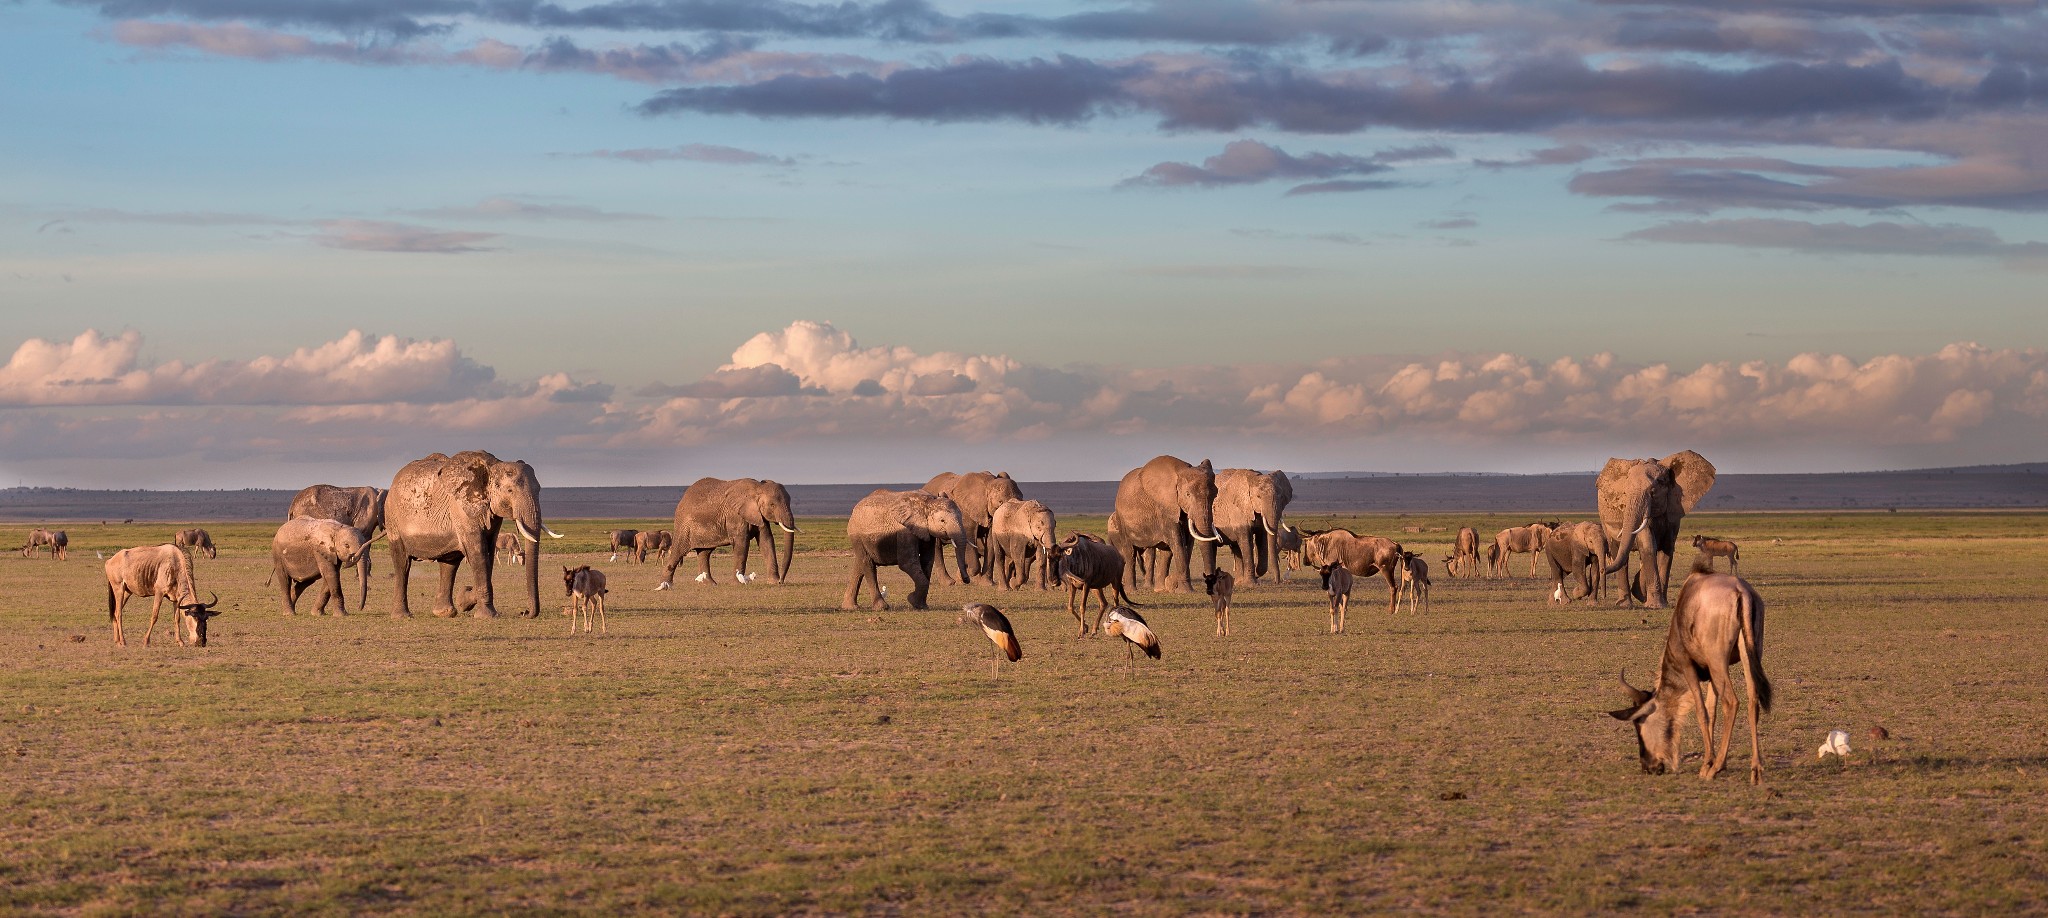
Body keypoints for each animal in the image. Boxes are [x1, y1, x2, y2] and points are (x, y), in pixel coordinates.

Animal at [382, 450, 561, 618]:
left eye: (539, 490)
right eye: (510, 490)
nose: (524, 612)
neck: (492, 466)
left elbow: (488, 552)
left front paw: (464, 600)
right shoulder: (461, 508)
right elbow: (478, 552)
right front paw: (487, 615)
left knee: (449, 564)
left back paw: (445, 613)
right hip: (392, 518)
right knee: (402, 563)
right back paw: (402, 616)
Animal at [663, 473, 806, 590]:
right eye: (772, 505)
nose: (782, 580)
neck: (757, 487)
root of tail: (683, 497)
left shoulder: (758, 514)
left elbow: (766, 540)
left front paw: (773, 582)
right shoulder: (735, 515)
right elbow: (742, 543)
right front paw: (738, 584)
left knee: (705, 552)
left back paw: (710, 584)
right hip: (684, 525)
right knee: (678, 552)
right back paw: (665, 586)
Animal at [1114, 452, 1220, 594]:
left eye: (1215, 495)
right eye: (1187, 494)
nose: (1211, 587)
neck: (1181, 471)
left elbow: (1188, 543)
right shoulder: (1165, 507)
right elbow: (1178, 542)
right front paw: (1186, 591)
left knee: (1166, 552)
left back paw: (1159, 589)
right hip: (1121, 520)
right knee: (1129, 552)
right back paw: (1132, 591)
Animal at [1589, 450, 1720, 610]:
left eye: (1653, 492)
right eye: (1624, 494)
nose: (1603, 570)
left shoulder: (1673, 511)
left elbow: (1667, 549)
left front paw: (1660, 604)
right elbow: (1649, 546)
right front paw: (1655, 605)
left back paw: (1640, 595)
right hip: (1604, 519)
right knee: (1619, 553)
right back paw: (1625, 604)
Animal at [1605, 561, 1769, 786]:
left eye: (1639, 723)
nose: (1648, 767)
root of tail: (1741, 591)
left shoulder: (1689, 667)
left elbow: (1702, 711)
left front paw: (1708, 764)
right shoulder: (1710, 675)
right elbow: (1712, 710)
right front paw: (1709, 762)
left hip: (1719, 661)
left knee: (1732, 702)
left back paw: (1716, 768)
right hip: (1749, 655)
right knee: (1753, 701)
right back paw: (1756, 770)